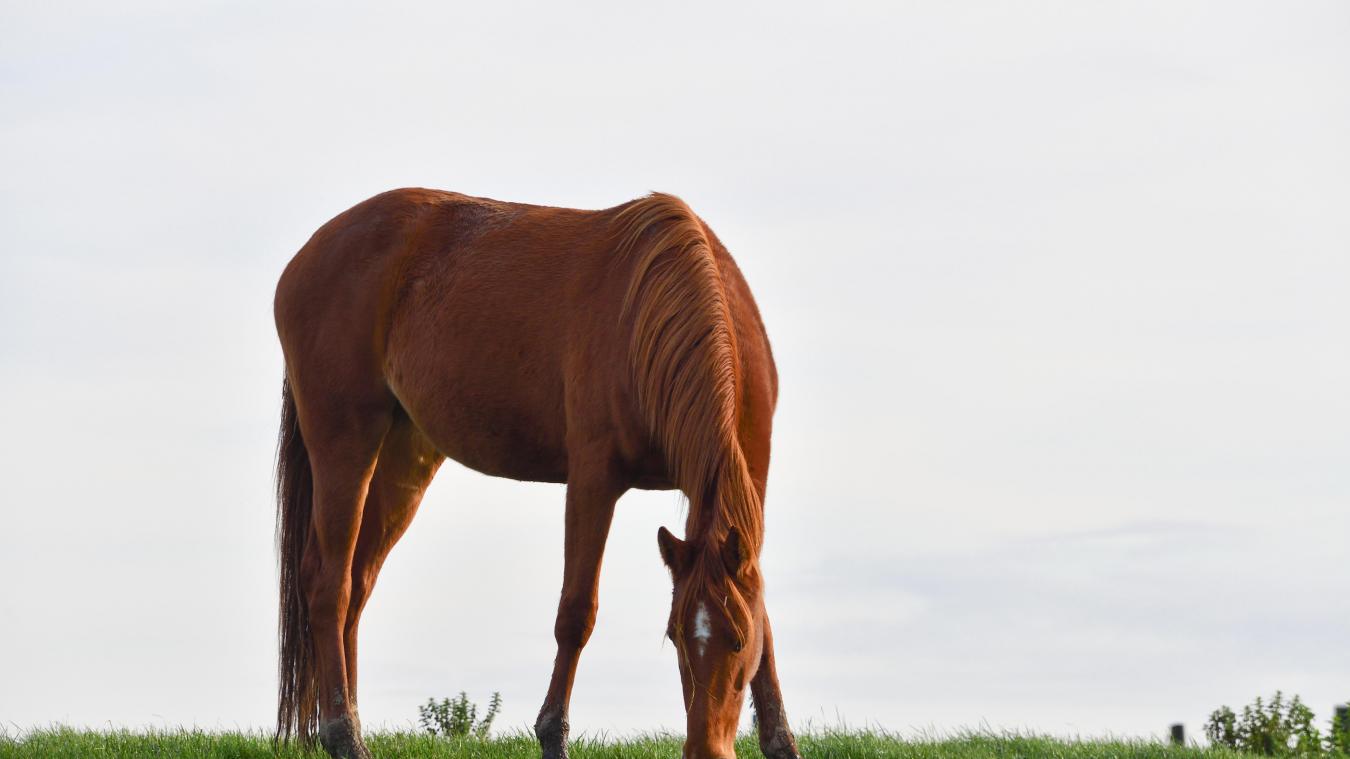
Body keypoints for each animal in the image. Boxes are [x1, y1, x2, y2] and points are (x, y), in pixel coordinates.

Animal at [274, 187, 799, 756]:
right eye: (675, 635)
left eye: (738, 640)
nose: (705, 749)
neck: (656, 311)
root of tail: (307, 256)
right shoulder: (594, 481)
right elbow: (576, 613)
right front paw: (553, 735)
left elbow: (766, 618)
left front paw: (781, 741)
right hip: (344, 444)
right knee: (329, 583)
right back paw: (343, 735)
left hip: (401, 458)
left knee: (358, 581)